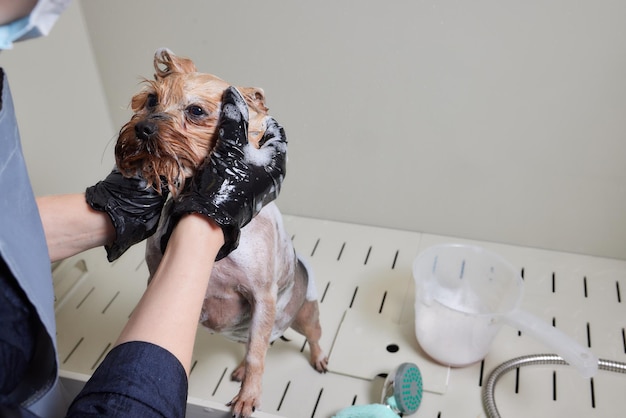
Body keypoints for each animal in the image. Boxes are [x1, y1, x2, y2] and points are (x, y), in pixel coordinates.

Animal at [114, 48, 326, 414]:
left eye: (196, 111)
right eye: (151, 99)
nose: (142, 128)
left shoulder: (262, 297)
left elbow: (257, 356)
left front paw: (248, 398)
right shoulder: (160, 278)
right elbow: (253, 350)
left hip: (304, 314)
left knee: (307, 337)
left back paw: (319, 358)